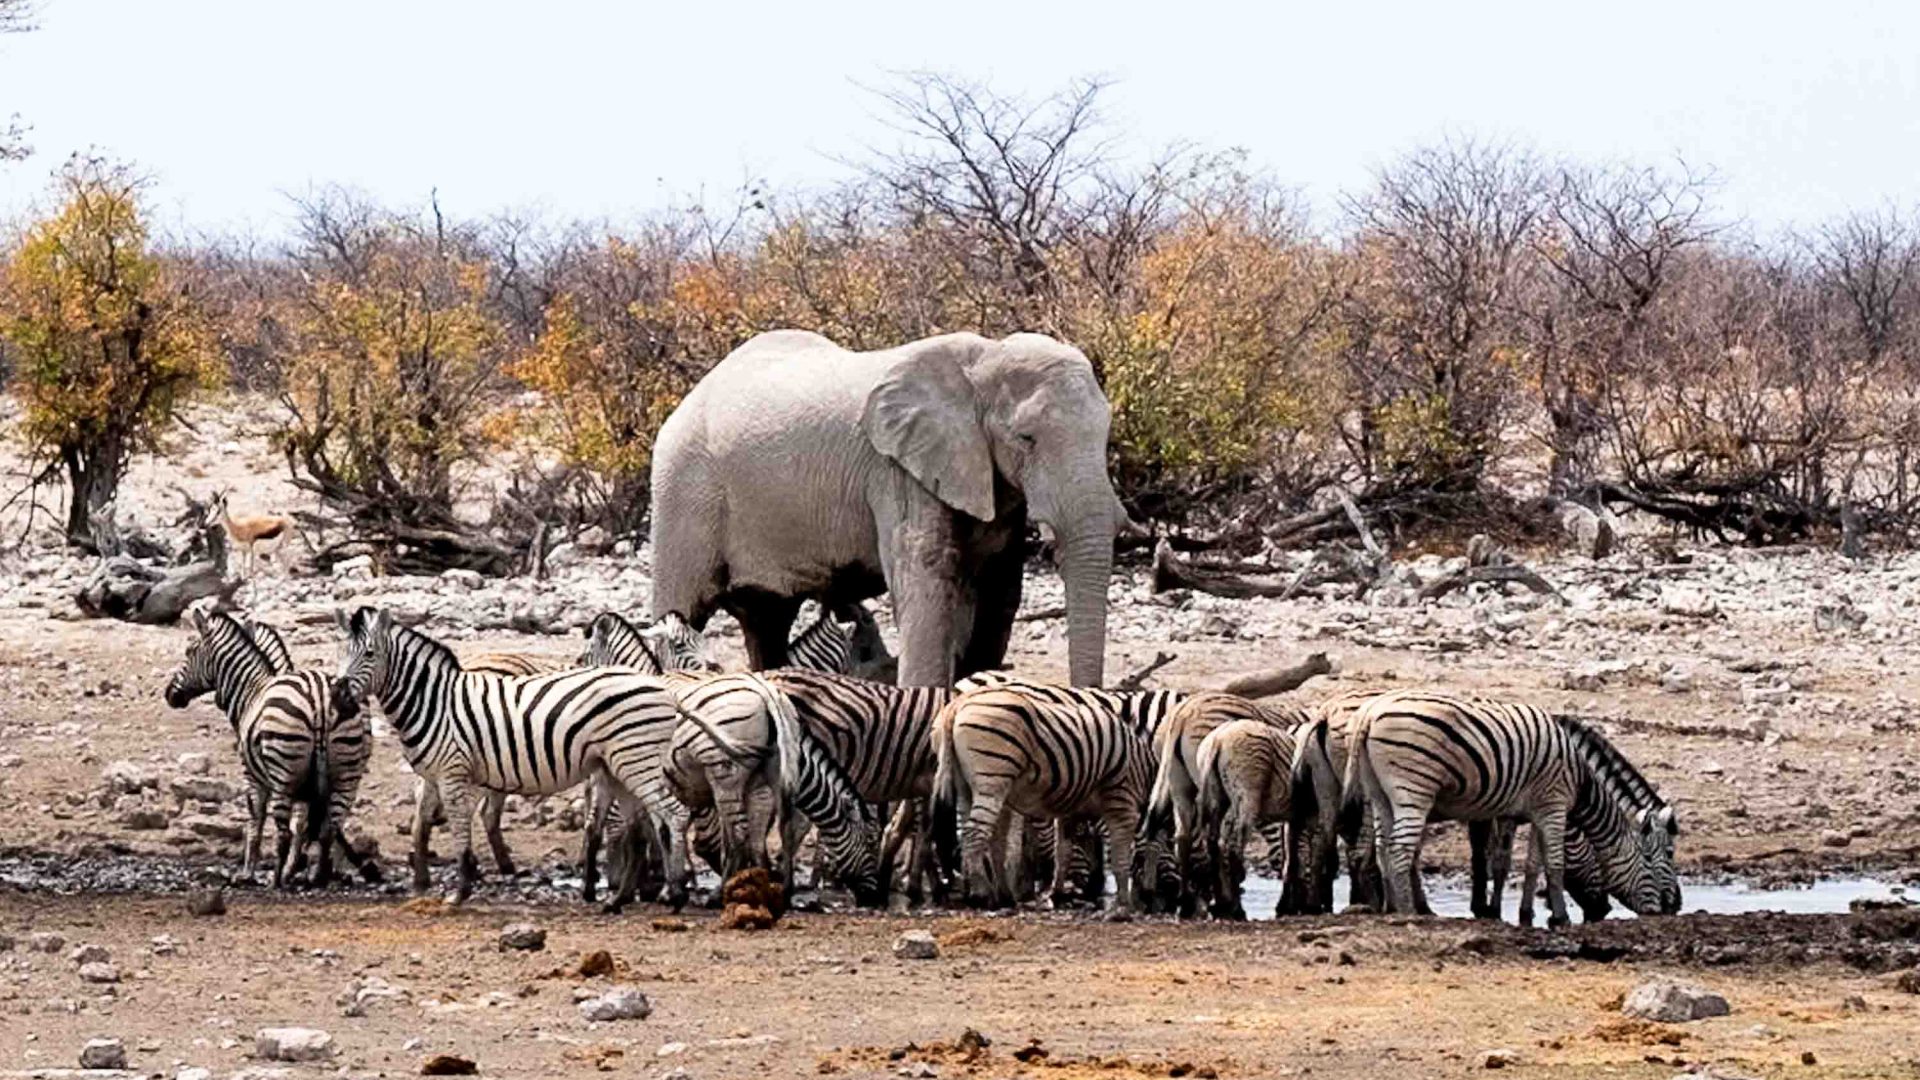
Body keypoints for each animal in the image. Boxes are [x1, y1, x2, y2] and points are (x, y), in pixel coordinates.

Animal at [165, 611, 378, 887]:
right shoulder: (307, 789)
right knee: (330, 827)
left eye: (189, 652)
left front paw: (247, 873)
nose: (169, 694)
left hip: (283, 773)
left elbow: (255, 822)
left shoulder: (252, 775)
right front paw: (300, 867)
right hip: (347, 773)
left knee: (285, 832)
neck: (251, 691)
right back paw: (320, 875)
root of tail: (320, 697)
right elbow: (303, 825)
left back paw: (277, 880)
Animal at [332, 607, 706, 899]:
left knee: (670, 814)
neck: (434, 700)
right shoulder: (446, 772)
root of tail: (663, 691)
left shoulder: (452, 771)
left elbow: (460, 827)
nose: (338, 698)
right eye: (341, 653)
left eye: (369, 655)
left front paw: (461, 889)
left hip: (633, 761)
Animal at [652, 322, 1121, 684]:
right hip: (682, 491)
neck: (985, 359)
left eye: (1106, 433)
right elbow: (927, 581)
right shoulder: (897, 471)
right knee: (683, 609)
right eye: (1026, 439)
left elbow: (999, 590)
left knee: (766, 617)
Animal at [933, 676, 1182, 910]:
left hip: (965, 785)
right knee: (975, 833)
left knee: (975, 833)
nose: (1175, 898)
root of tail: (957, 703)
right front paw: (1122, 901)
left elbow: (1064, 850)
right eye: (1170, 840)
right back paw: (981, 894)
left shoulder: (1072, 806)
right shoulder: (1119, 800)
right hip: (992, 780)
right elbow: (1118, 851)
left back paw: (996, 894)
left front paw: (1059, 893)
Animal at [1336, 687, 1681, 926]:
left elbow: (1529, 864)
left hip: (1380, 794)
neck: (1581, 775)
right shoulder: (1551, 806)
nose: (1671, 908)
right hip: (1414, 790)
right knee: (1397, 850)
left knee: (1382, 848)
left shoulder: (1532, 811)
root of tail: (1369, 714)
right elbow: (1548, 864)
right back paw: (1409, 912)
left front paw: (1525, 914)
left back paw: (1392, 908)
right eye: (1664, 856)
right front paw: (1558, 918)